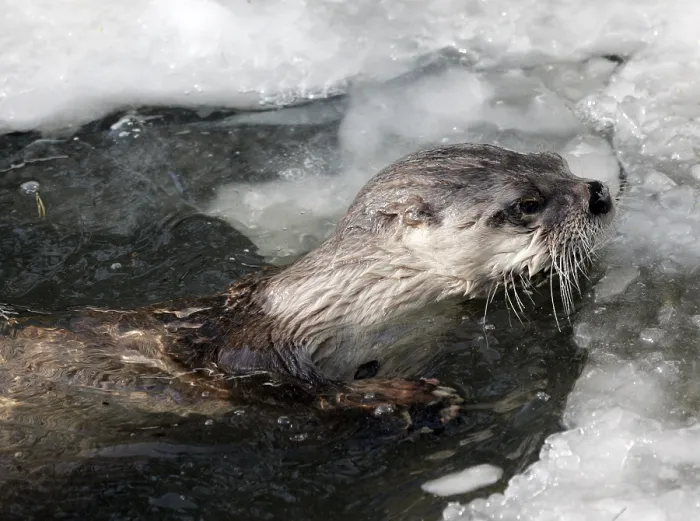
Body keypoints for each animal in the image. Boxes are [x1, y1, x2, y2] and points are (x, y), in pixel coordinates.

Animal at [1, 144, 615, 423]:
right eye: (527, 203)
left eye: (556, 159)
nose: (598, 192)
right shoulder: (249, 355)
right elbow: (289, 392)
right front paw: (413, 396)